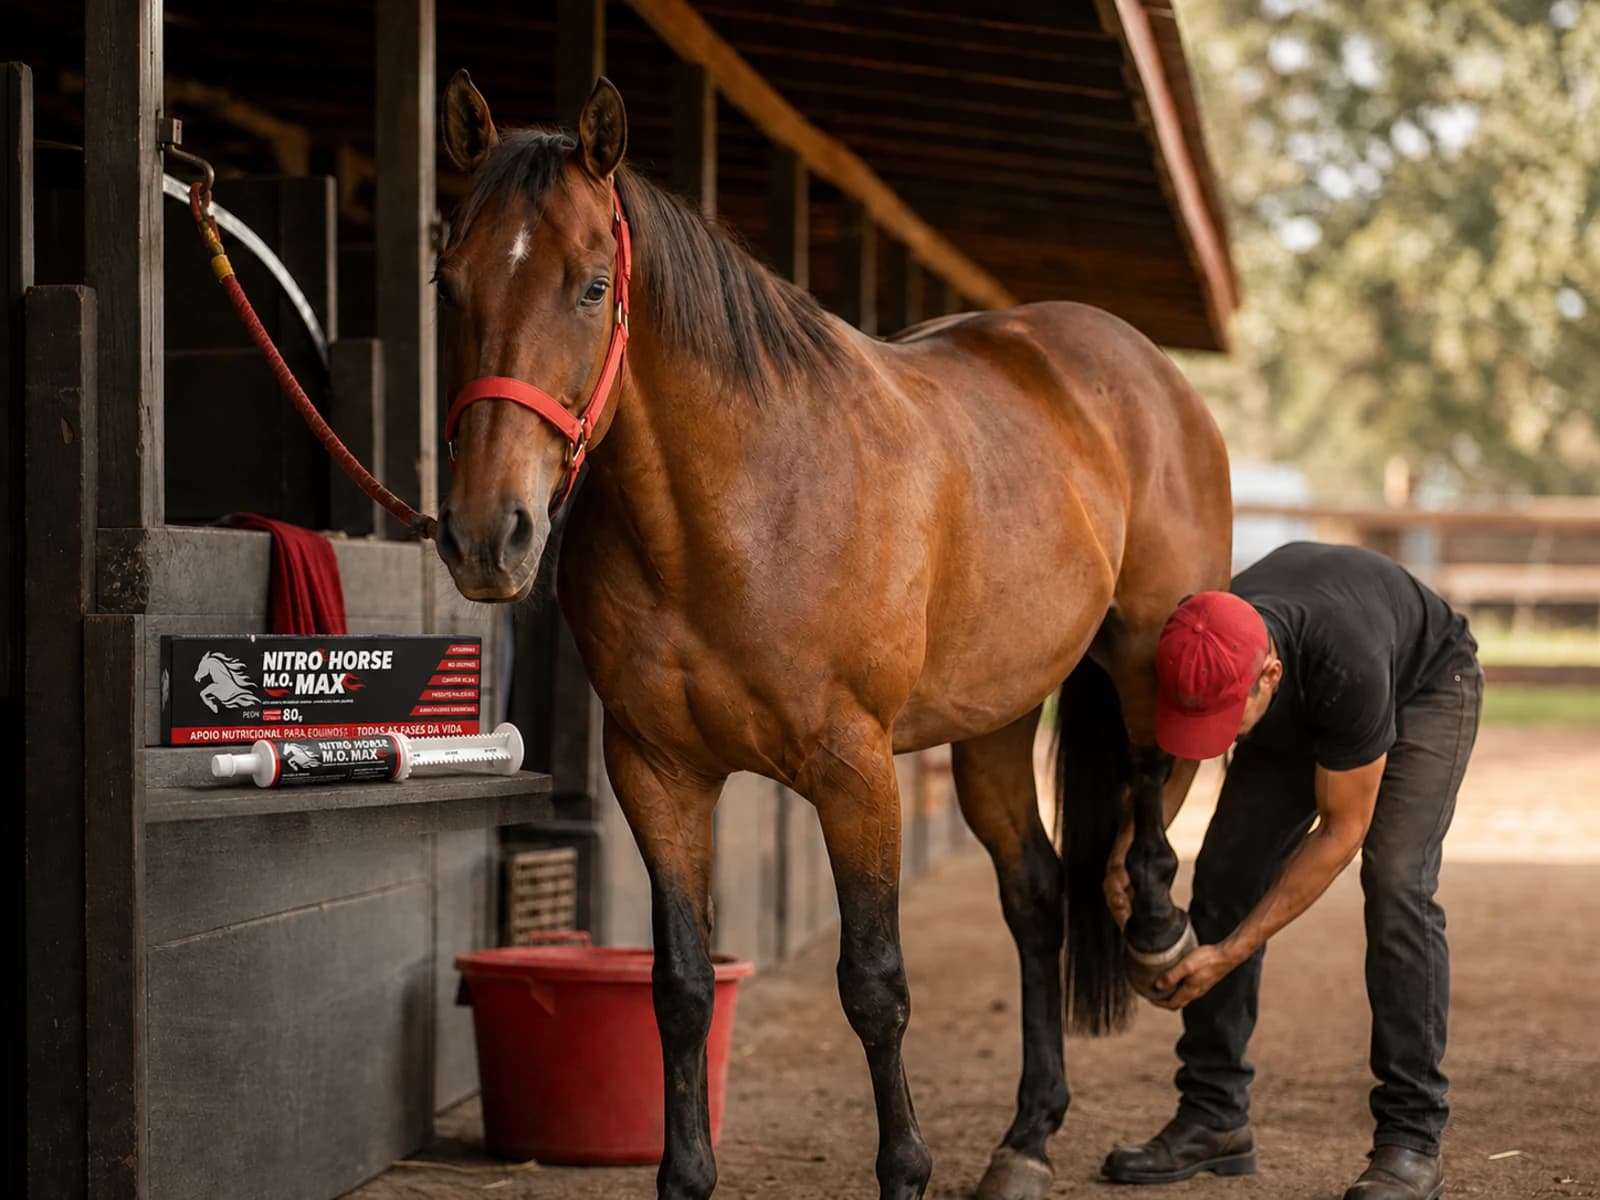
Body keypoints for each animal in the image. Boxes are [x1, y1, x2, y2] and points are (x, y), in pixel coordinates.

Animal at [432, 73, 1232, 1200]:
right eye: (447, 282)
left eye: (591, 288)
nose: (484, 535)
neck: (736, 511)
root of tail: (1133, 364)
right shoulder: (656, 772)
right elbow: (680, 985)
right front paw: (685, 1176)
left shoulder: (853, 771)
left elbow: (874, 982)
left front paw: (903, 1170)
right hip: (992, 719)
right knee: (1034, 895)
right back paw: (1026, 1135)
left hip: (1146, 645)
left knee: (1152, 786)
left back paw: (1159, 931)